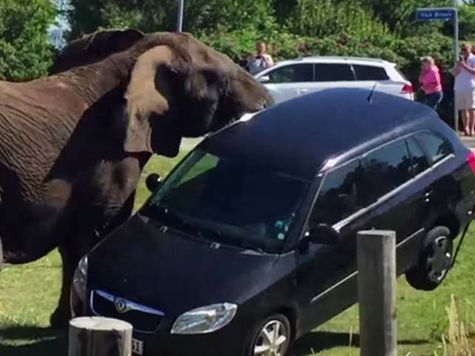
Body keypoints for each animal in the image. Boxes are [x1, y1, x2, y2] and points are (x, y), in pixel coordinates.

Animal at [0, 29, 274, 326]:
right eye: (220, 79)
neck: (132, 58)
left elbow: (72, 245)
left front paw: (62, 322)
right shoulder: (110, 157)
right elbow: (99, 232)